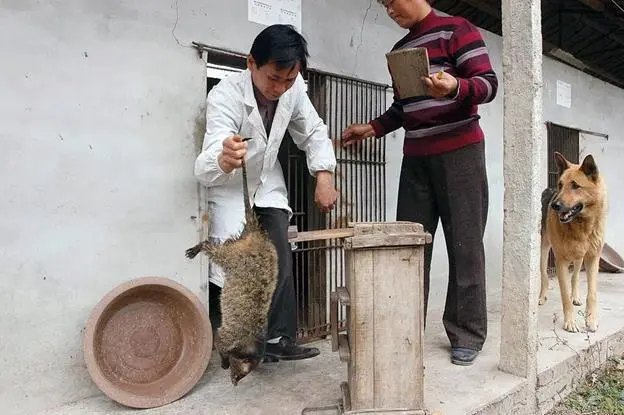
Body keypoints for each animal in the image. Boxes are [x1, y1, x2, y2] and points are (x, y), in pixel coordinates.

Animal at [540, 153, 608, 334]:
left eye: (575, 185)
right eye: (561, 185)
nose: (555, 206)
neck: (582, 227)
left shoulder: (593, 259)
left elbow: (592, 293)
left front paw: (591, 320)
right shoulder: (561, 262)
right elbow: (564, 296)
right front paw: (570, 322)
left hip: (579, 258)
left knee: (575, 276)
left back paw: (575, 296)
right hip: (544, 249)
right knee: (543, 274)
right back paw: (542, 296)